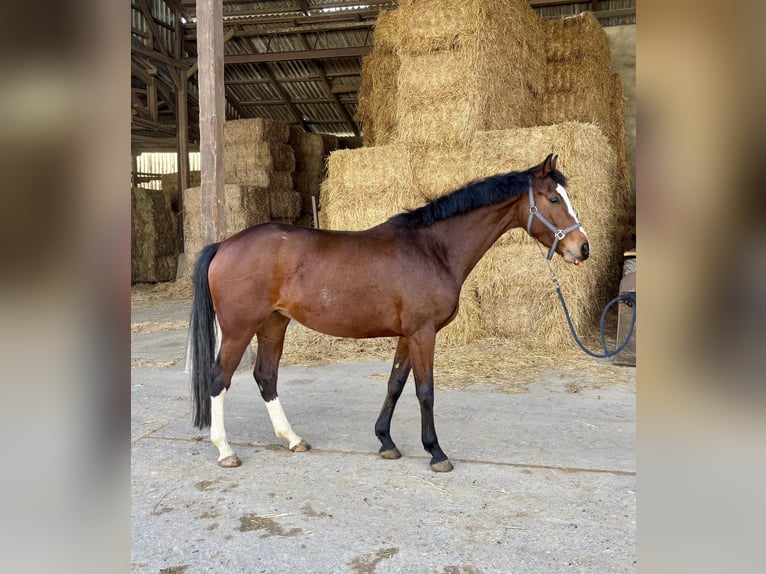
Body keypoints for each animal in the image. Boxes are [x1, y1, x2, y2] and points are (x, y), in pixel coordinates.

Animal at [190, 153, 588, 472]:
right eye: (554, 198)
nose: (582, 248)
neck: (433, 248)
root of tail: (224, 244)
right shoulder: (423, 333)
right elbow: (425, 391)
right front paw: (436, 452)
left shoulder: (408, 335)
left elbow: (395, 384)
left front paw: (386, 441)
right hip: (240, 329)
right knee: (218, 378)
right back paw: (225, 450)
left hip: (273, 324)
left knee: (266, 377)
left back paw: (292, 439)